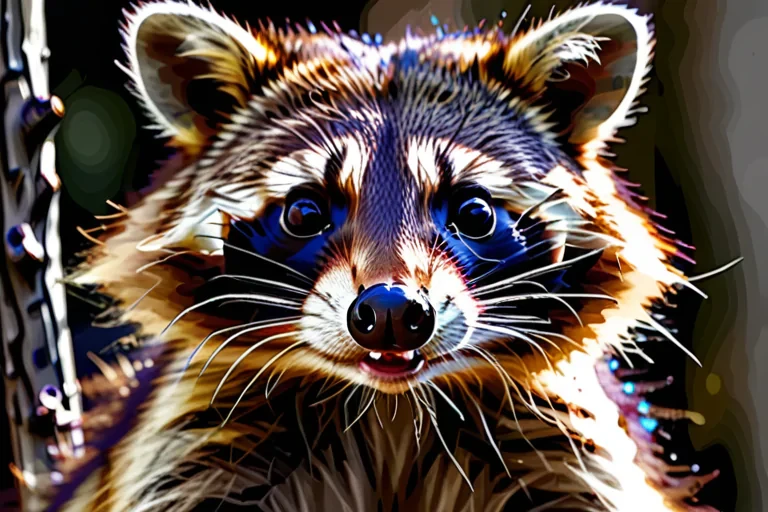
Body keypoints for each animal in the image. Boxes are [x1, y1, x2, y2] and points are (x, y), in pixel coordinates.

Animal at [59, 1, 723, 511]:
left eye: (474, 213)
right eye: (305, 212)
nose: (391, 312)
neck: (389, 409)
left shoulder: (567, 452)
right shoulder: (191, 445)